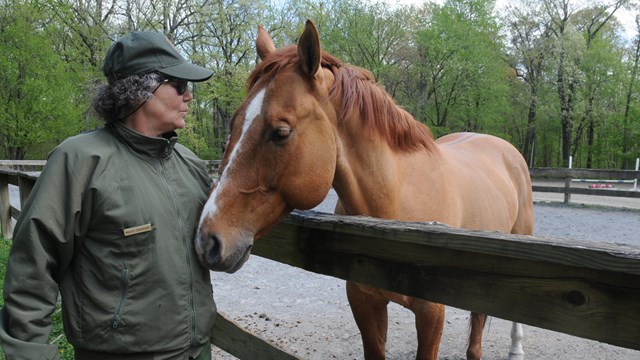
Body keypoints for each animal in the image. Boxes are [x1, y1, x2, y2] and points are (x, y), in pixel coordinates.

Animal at [198, 20, 532, 360]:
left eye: (280, 132)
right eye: (233, 124)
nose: (207, 240)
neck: (395, 205)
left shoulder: (431, 313)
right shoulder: (364, 303)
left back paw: (517, 347)